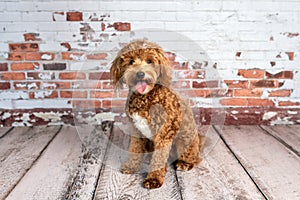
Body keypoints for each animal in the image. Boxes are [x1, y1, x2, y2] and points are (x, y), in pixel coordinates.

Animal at [110, 39, 206, 189]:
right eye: (131, 61)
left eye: (150, 61)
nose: (140, 74)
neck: (145, 97)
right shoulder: (136, 131)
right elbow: (135, 149)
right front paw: (131, 167)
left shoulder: (163, 134)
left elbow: (159, 158)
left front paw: (153, 179)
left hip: (185, 142)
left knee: (195, 158)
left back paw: (185, 163)